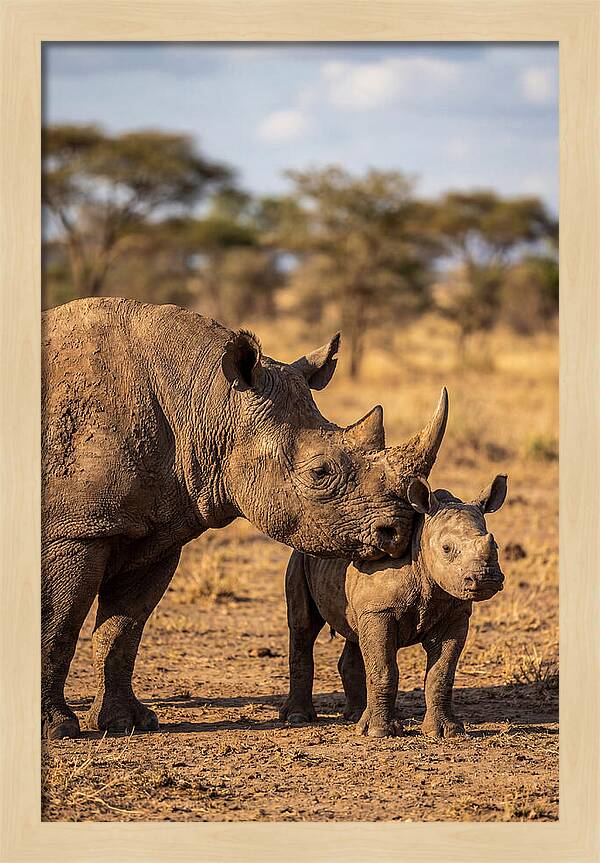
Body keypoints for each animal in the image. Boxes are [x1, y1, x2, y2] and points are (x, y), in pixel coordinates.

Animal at [42, 297, 447, 739]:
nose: (399, 531)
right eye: (319, 473)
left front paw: (126, 723)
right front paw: (57, 729)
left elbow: (123, 630)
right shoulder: (76, 530)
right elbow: (58, 623)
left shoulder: (156, 531)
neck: (207, 401)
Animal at [280, 473, 508, 738]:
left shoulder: (455, 614)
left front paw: (446, 731)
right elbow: (384, 669)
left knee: (355, 633)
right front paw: (379, 732)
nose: (486, 578)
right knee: (303, 628)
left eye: (496, 545)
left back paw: (356, 716)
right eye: (447, 549)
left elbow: (442, 673)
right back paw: (299, 717)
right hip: (299, 557)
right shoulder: (380, 610)